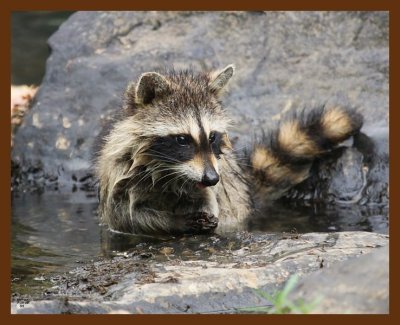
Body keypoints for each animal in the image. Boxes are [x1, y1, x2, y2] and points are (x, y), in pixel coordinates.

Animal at [95, 64, 364, 234]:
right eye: (182, 139)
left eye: (212, 136)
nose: (212, 178)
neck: (170, 171)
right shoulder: (120, 171)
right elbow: (126, 217)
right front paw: (175, 222)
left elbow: (211, 204)